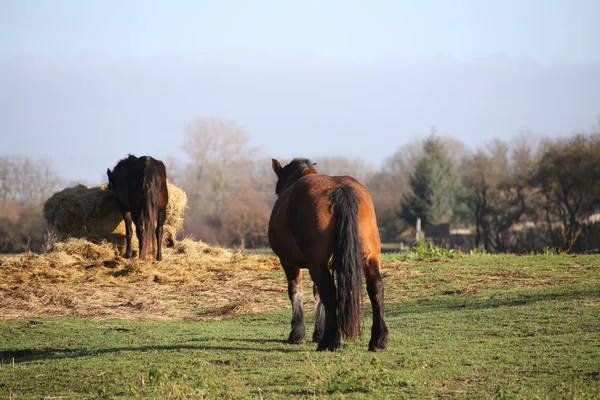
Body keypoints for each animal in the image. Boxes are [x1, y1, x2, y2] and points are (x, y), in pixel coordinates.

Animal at [268, 158, 390, 352]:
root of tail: (338, 189)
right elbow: (317, 295)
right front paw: (317, 332)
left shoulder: (289, 262)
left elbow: (296, 292)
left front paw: (298, 334)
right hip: (369, 258)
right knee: (376, 288)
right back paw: (378, 341)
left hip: (316, 263)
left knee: (329, 292)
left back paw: (330, 341)